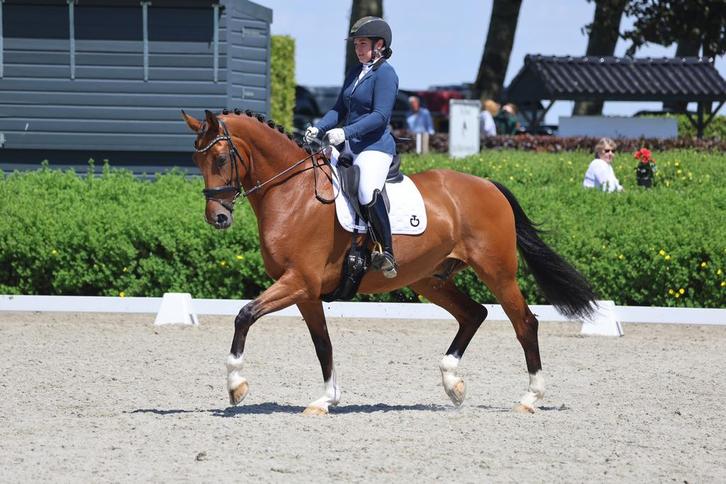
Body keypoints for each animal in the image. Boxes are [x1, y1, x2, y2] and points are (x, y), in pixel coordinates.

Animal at [181, 109, 597, 415]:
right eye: (196, 159)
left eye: (221, 158)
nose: (217, 217)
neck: (294, 194)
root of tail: (489, 185)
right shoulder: (307, 292)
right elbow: (322, 344)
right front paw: (325, 400)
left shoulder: (298, 281)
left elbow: (244, 315)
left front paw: (236, 386)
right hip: (429, 279)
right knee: (473, 313)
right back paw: (453, 384)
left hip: (497, 272)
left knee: (524, 323)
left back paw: (529, 398)